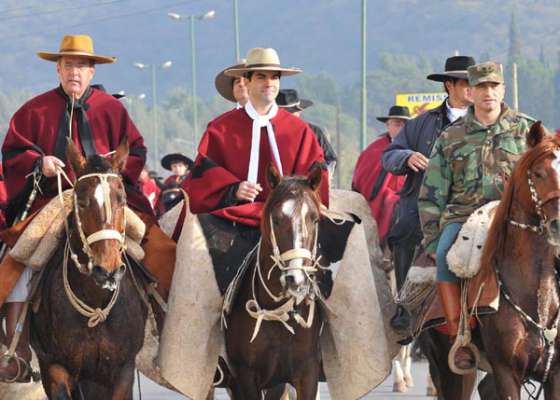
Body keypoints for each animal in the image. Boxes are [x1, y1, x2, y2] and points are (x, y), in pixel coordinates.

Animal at [30, 138, 148, 400]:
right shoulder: (54, 366)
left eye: (122, 200)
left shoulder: (123, 369)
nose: (107, 271)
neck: (95, 302)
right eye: (82, 202)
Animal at [225, 165, 326, 396]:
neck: (277, 312)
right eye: (277, 219)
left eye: (315, 219)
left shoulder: (307, 374)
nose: (296, 280)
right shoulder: (245, 377)